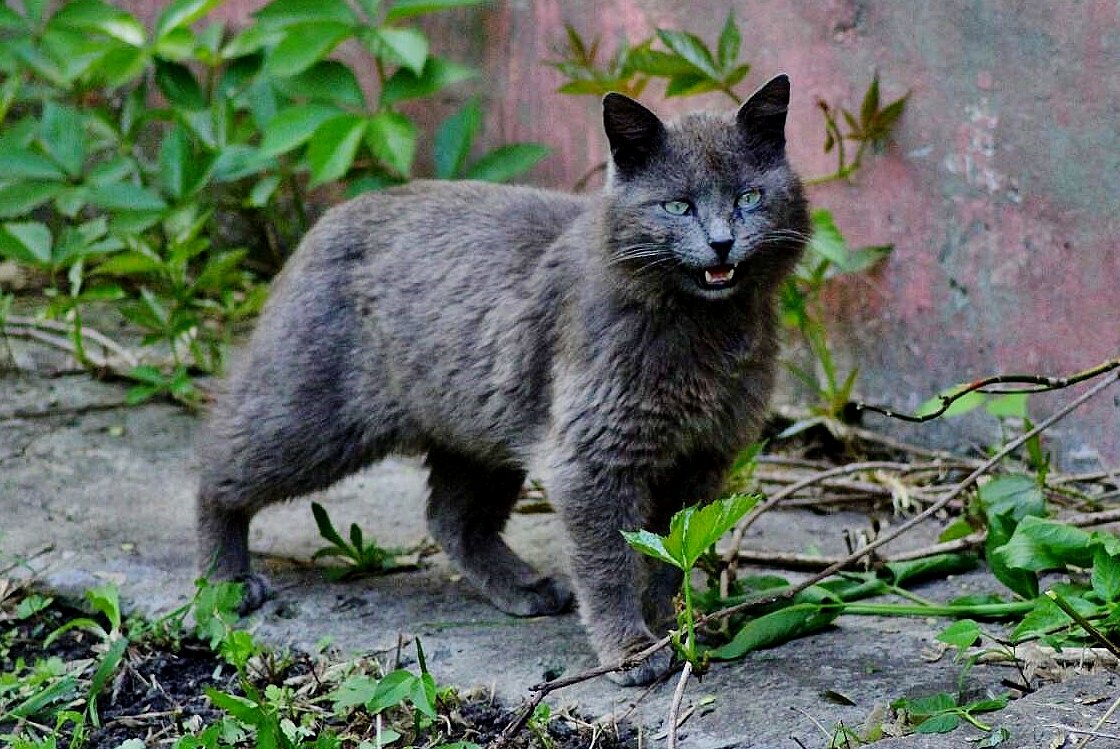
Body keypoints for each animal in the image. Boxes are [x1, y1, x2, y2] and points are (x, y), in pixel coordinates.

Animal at [199, 76, 806, 685]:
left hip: (482, 424)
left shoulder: (701, 458)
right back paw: (225, 581)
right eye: (677, 205)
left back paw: (524, 587)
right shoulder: (593, 458)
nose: (722, 241)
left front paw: (670, 621)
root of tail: (324, 224)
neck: (705, 331)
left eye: (748, 197)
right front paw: (631, 649)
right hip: (316, 414)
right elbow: (609, 560)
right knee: (217, 466)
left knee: (450, 519)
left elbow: (669, 554)